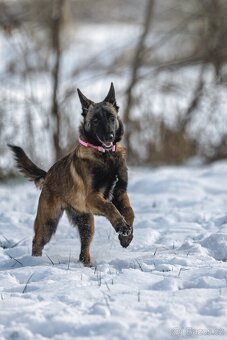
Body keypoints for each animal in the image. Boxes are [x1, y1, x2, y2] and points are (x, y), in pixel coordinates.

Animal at [7, 83, 134, 266]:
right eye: (95, 120)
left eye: (111, 117)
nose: (109, 136)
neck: (106, 156)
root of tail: (48, 175)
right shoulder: (93, 197)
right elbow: (110, 207)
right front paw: (122, 227)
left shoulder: (120, 193)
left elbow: (130, 212)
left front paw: (126, 235)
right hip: (48, 222)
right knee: (37, 242)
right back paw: (34, 263)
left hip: (86, 222)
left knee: (83, 249)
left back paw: (86, 263)